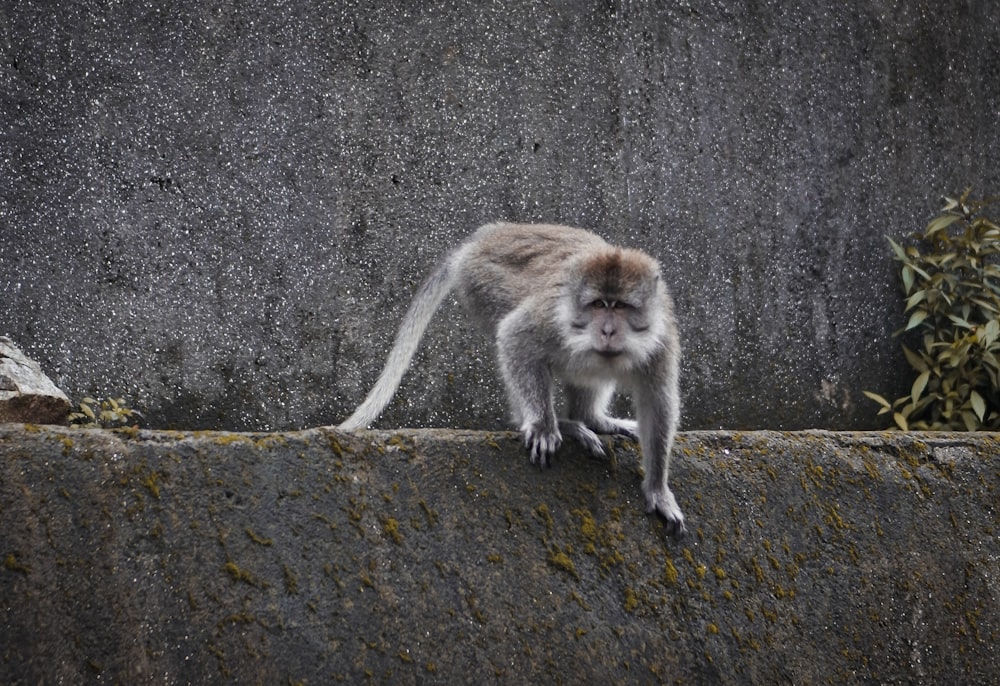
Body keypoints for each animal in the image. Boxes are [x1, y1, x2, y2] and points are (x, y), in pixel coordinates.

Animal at [340, 224, 684, 536]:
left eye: (622, 307)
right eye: (599, 305)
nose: (608, 331)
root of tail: (484, 237)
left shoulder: (662, 338)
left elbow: (658, 403)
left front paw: (657, 490)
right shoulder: (551, 318)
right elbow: (515, 336)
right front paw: (544, 427)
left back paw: (590, 418)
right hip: (483, 282)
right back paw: (560, 424)